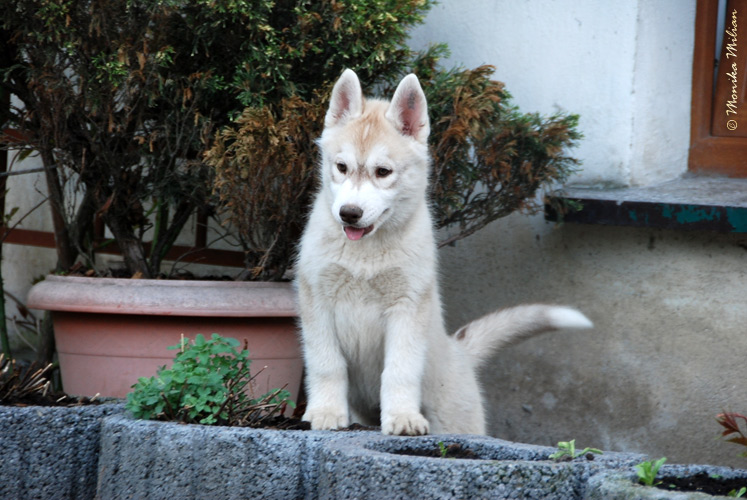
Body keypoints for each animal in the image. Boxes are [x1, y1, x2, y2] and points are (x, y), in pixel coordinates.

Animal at [295, 69, 592, 436]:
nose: (349, 214)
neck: (365, 254)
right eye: (341, 167)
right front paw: (325, 413)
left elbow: (400, 370)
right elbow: (327, 364)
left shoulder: (408, 306)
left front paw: (402, 417)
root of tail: (459, 350)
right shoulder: (316, 300)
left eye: (383, 172)